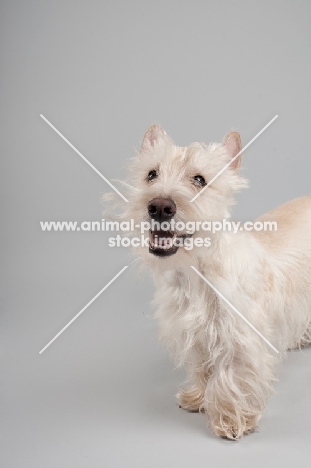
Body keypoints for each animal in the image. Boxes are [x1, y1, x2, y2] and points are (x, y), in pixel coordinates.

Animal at [105, 124, 311, 438]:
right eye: (151, 174)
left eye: (199, 179)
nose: (159, 207)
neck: (195, 270)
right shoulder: (194, 333)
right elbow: (203, 368)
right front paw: (198, 398)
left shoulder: (238, 337)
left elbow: (231, 376)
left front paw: (232, 419)